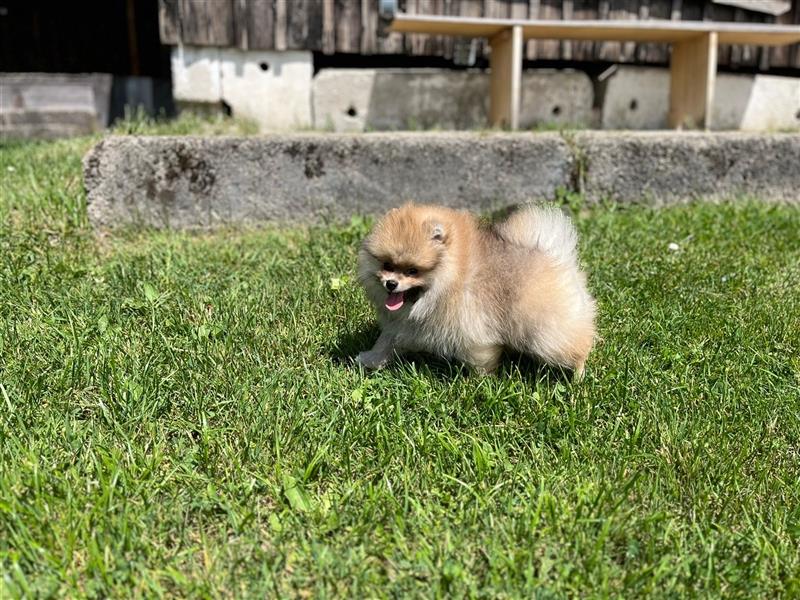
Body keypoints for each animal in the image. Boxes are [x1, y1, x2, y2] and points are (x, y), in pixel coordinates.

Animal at [356, 204, 592, 378]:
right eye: (387, 265)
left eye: (413, 271)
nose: (391, 284)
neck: (449, 280)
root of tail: (557, 257)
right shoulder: (401, 325)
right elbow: (386, 342)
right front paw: (370, 359)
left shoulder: (472, 327)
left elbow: (479, 358)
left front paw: (480, 382)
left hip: (548, 333)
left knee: (576, 347)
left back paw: (578, 376)